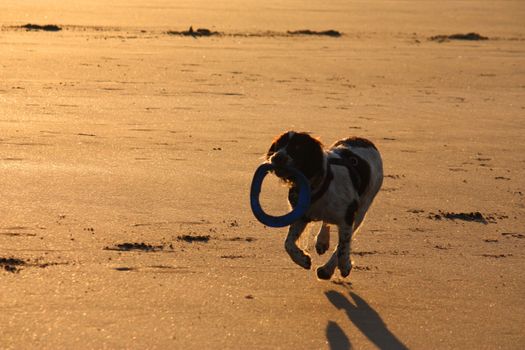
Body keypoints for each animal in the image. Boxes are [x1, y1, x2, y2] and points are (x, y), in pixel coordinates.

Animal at [266, 130, 380, 280]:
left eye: (297, 147)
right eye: (278, 144)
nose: (277, 157)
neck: (318, 184)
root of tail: (363, 139)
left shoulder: (348, 217)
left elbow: (343, 246)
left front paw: (344, 265)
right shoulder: (302, 216)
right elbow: (288, 243)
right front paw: (302, 259)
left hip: (363, 208)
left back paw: (327, 270)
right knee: (326, 222)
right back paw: (322, 242)